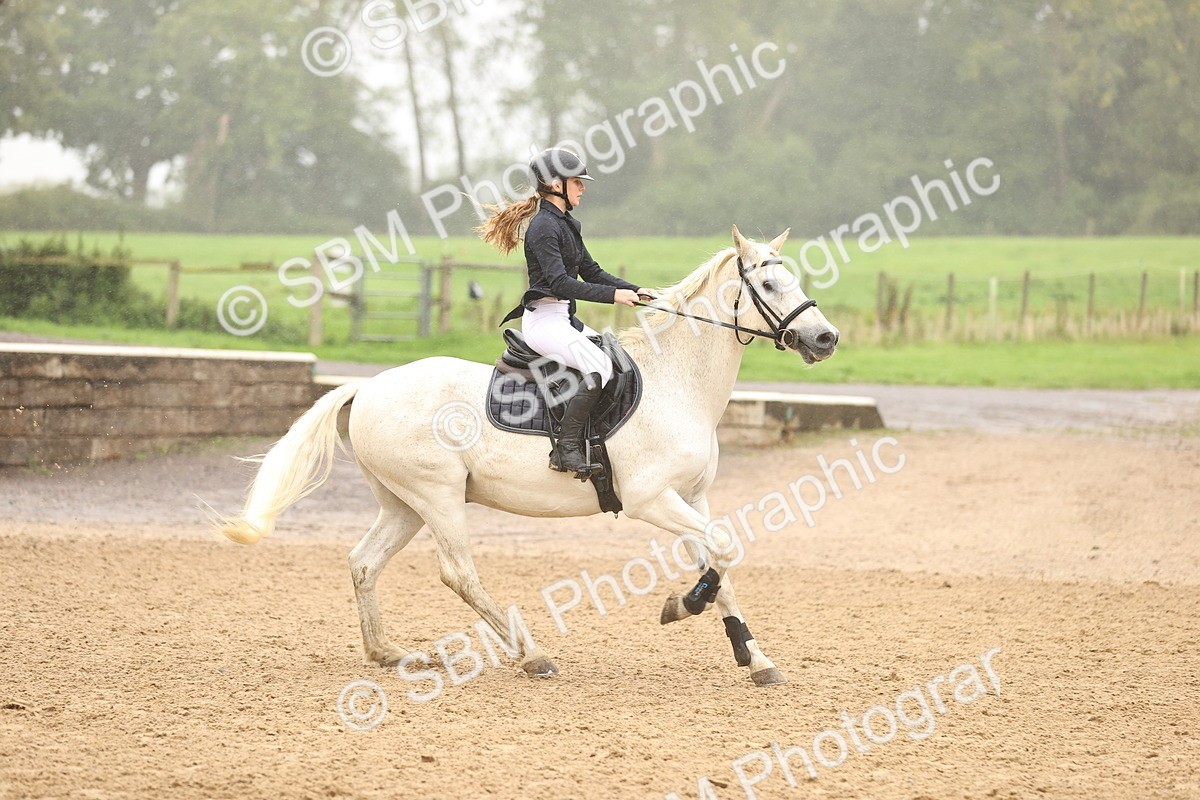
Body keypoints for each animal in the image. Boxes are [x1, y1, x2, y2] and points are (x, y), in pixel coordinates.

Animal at [217, 225, 839, 687]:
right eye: (769, 284)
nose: (826, 339)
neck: (676, 379)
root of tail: (367, 387)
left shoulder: (693, 496)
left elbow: (720, 558)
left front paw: (754, 658)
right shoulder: (651, 499)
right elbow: (724, 550)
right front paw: (683, 605)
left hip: (403, 504)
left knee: (364, 562)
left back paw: (390, 653)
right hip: (437, 497)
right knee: (458, 572)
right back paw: (531, 654)